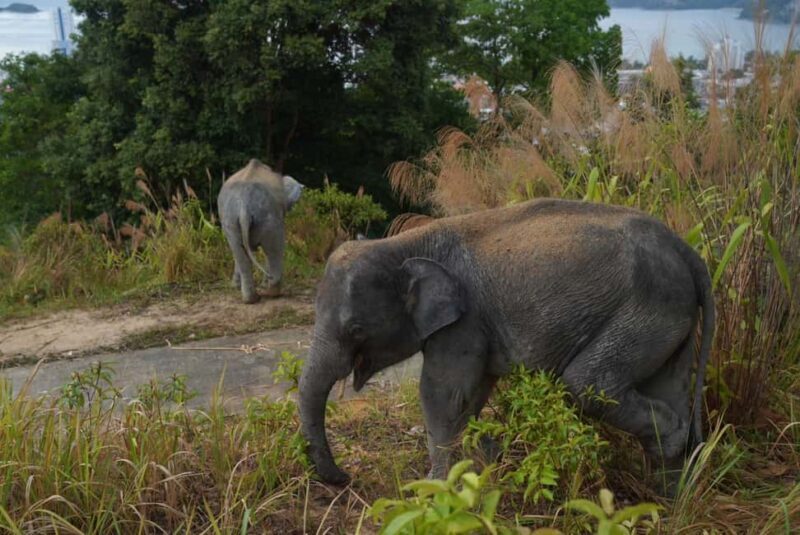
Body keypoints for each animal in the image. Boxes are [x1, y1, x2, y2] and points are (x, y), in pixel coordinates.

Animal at [218, 159, 303, 303]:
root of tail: (244, 205)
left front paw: (235, 286)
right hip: (268, 219)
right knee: (274, 248)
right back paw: (271, 292)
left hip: (231, 222)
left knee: (239, 253)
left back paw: (251, 299)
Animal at [298, 198, 714, 492]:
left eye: (355, 329)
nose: (345, 478)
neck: (403, 244)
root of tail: (687, 251)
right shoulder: (473, 325)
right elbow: (472, 395)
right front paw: (476, 470)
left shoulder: (463, 321)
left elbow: (442, 395)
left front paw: (433, 488)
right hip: (669, 315)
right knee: (668, 384)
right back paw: (671, 494)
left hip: (645, 310)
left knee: (589, 382)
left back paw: (669, 453)